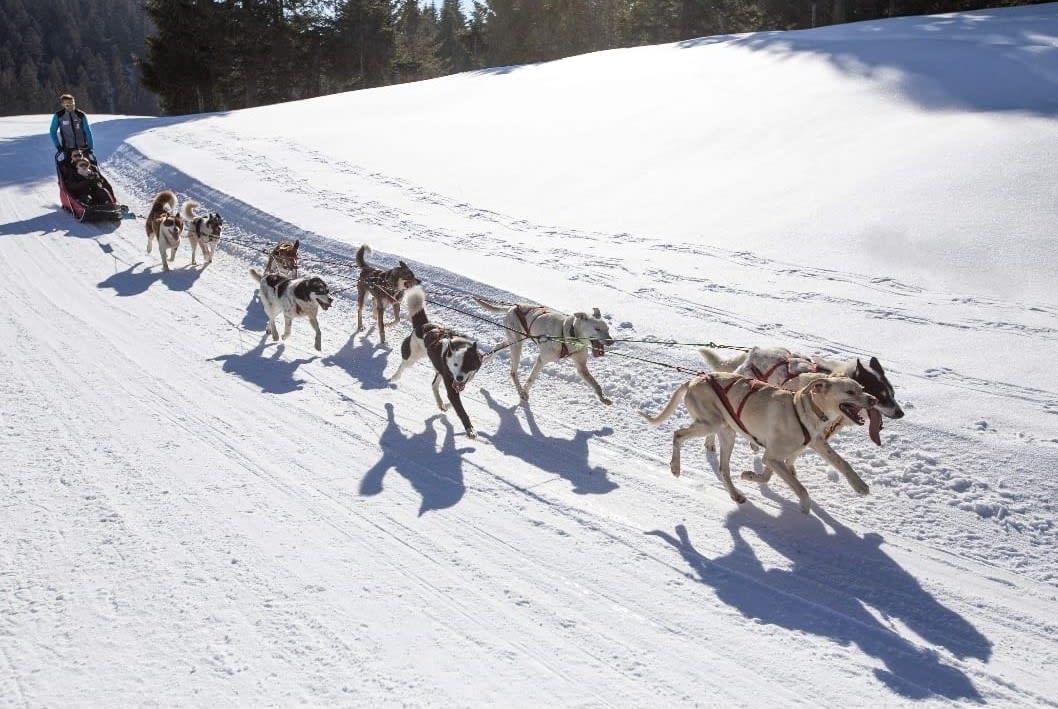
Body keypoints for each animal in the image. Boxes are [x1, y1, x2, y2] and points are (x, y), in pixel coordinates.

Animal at [391, 287, 484, 438]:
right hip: (412, 355)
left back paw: (441, 403)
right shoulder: (451, 382)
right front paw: (470, 429)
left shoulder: (457, 382)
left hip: (440, 370)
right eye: (455, 365)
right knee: (403, 365)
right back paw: (395, 377)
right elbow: (461, 410)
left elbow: (455, 400)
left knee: (434, 385)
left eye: (468, 365)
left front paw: (447, 405)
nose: (459, 377)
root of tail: (424, 325)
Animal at [476, 296, 617, 406]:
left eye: (608, 329)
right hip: (517, 345)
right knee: (513, 372)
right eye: (597, 329)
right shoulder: (542, 360)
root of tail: (513, 308)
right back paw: (520, 390)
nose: (611, 341)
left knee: (499, 345)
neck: (568, 333)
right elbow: (531, 379)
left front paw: (603, 398)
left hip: (514, 341)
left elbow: (596, 385)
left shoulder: (581, 367)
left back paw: (487, 357)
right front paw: (525, 392)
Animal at [643, 372, 876, 516]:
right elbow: (799, 487)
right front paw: (804, 505)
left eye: (862, 388)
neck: (803, 409)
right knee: (678, 434)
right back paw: (675, 466)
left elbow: (842, 462)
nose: (873, 399)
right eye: (850, 392)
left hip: (727, 432)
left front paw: (860, 485)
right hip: (710, 424)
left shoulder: (803, 448)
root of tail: (693, 380)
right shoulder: (772, 457)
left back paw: (735, 493)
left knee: (723, 468)